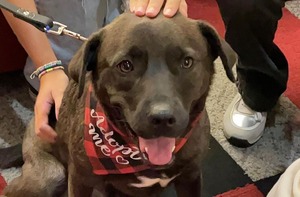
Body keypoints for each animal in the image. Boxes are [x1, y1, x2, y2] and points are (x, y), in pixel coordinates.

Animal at [1, 11, 237, 196]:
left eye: (187, 62)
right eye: (125, 65)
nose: (162, 118)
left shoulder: (191, 176)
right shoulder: (80, 180)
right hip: (50, 175)